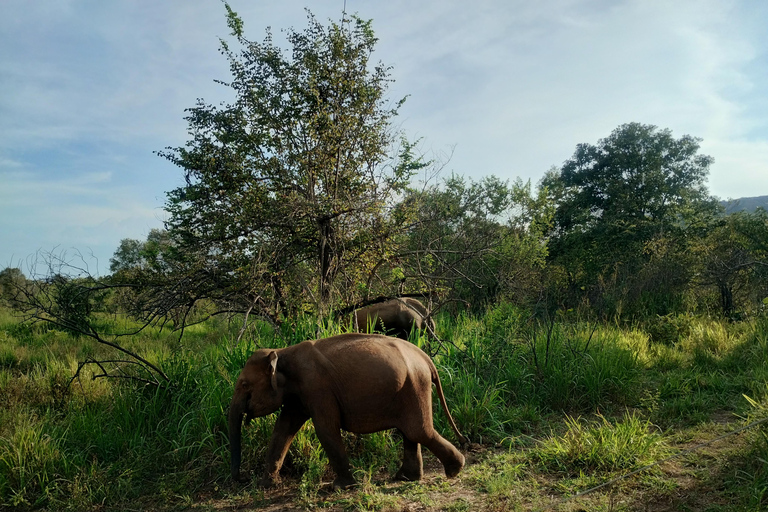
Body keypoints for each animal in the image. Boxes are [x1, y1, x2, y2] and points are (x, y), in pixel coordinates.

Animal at [226, 332, 468, 488]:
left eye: (244, 385)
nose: (242, 479)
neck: (282, 353)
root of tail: (426, 357)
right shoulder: (298, 395)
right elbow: (283, 429)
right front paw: (266, 486)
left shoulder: (317, 387)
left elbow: (325, 429)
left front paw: (341, 487)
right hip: (408, 387)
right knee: (410, 432)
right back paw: (405, 478)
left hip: (415, 384)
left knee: (418, 430)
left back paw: (454, 470)